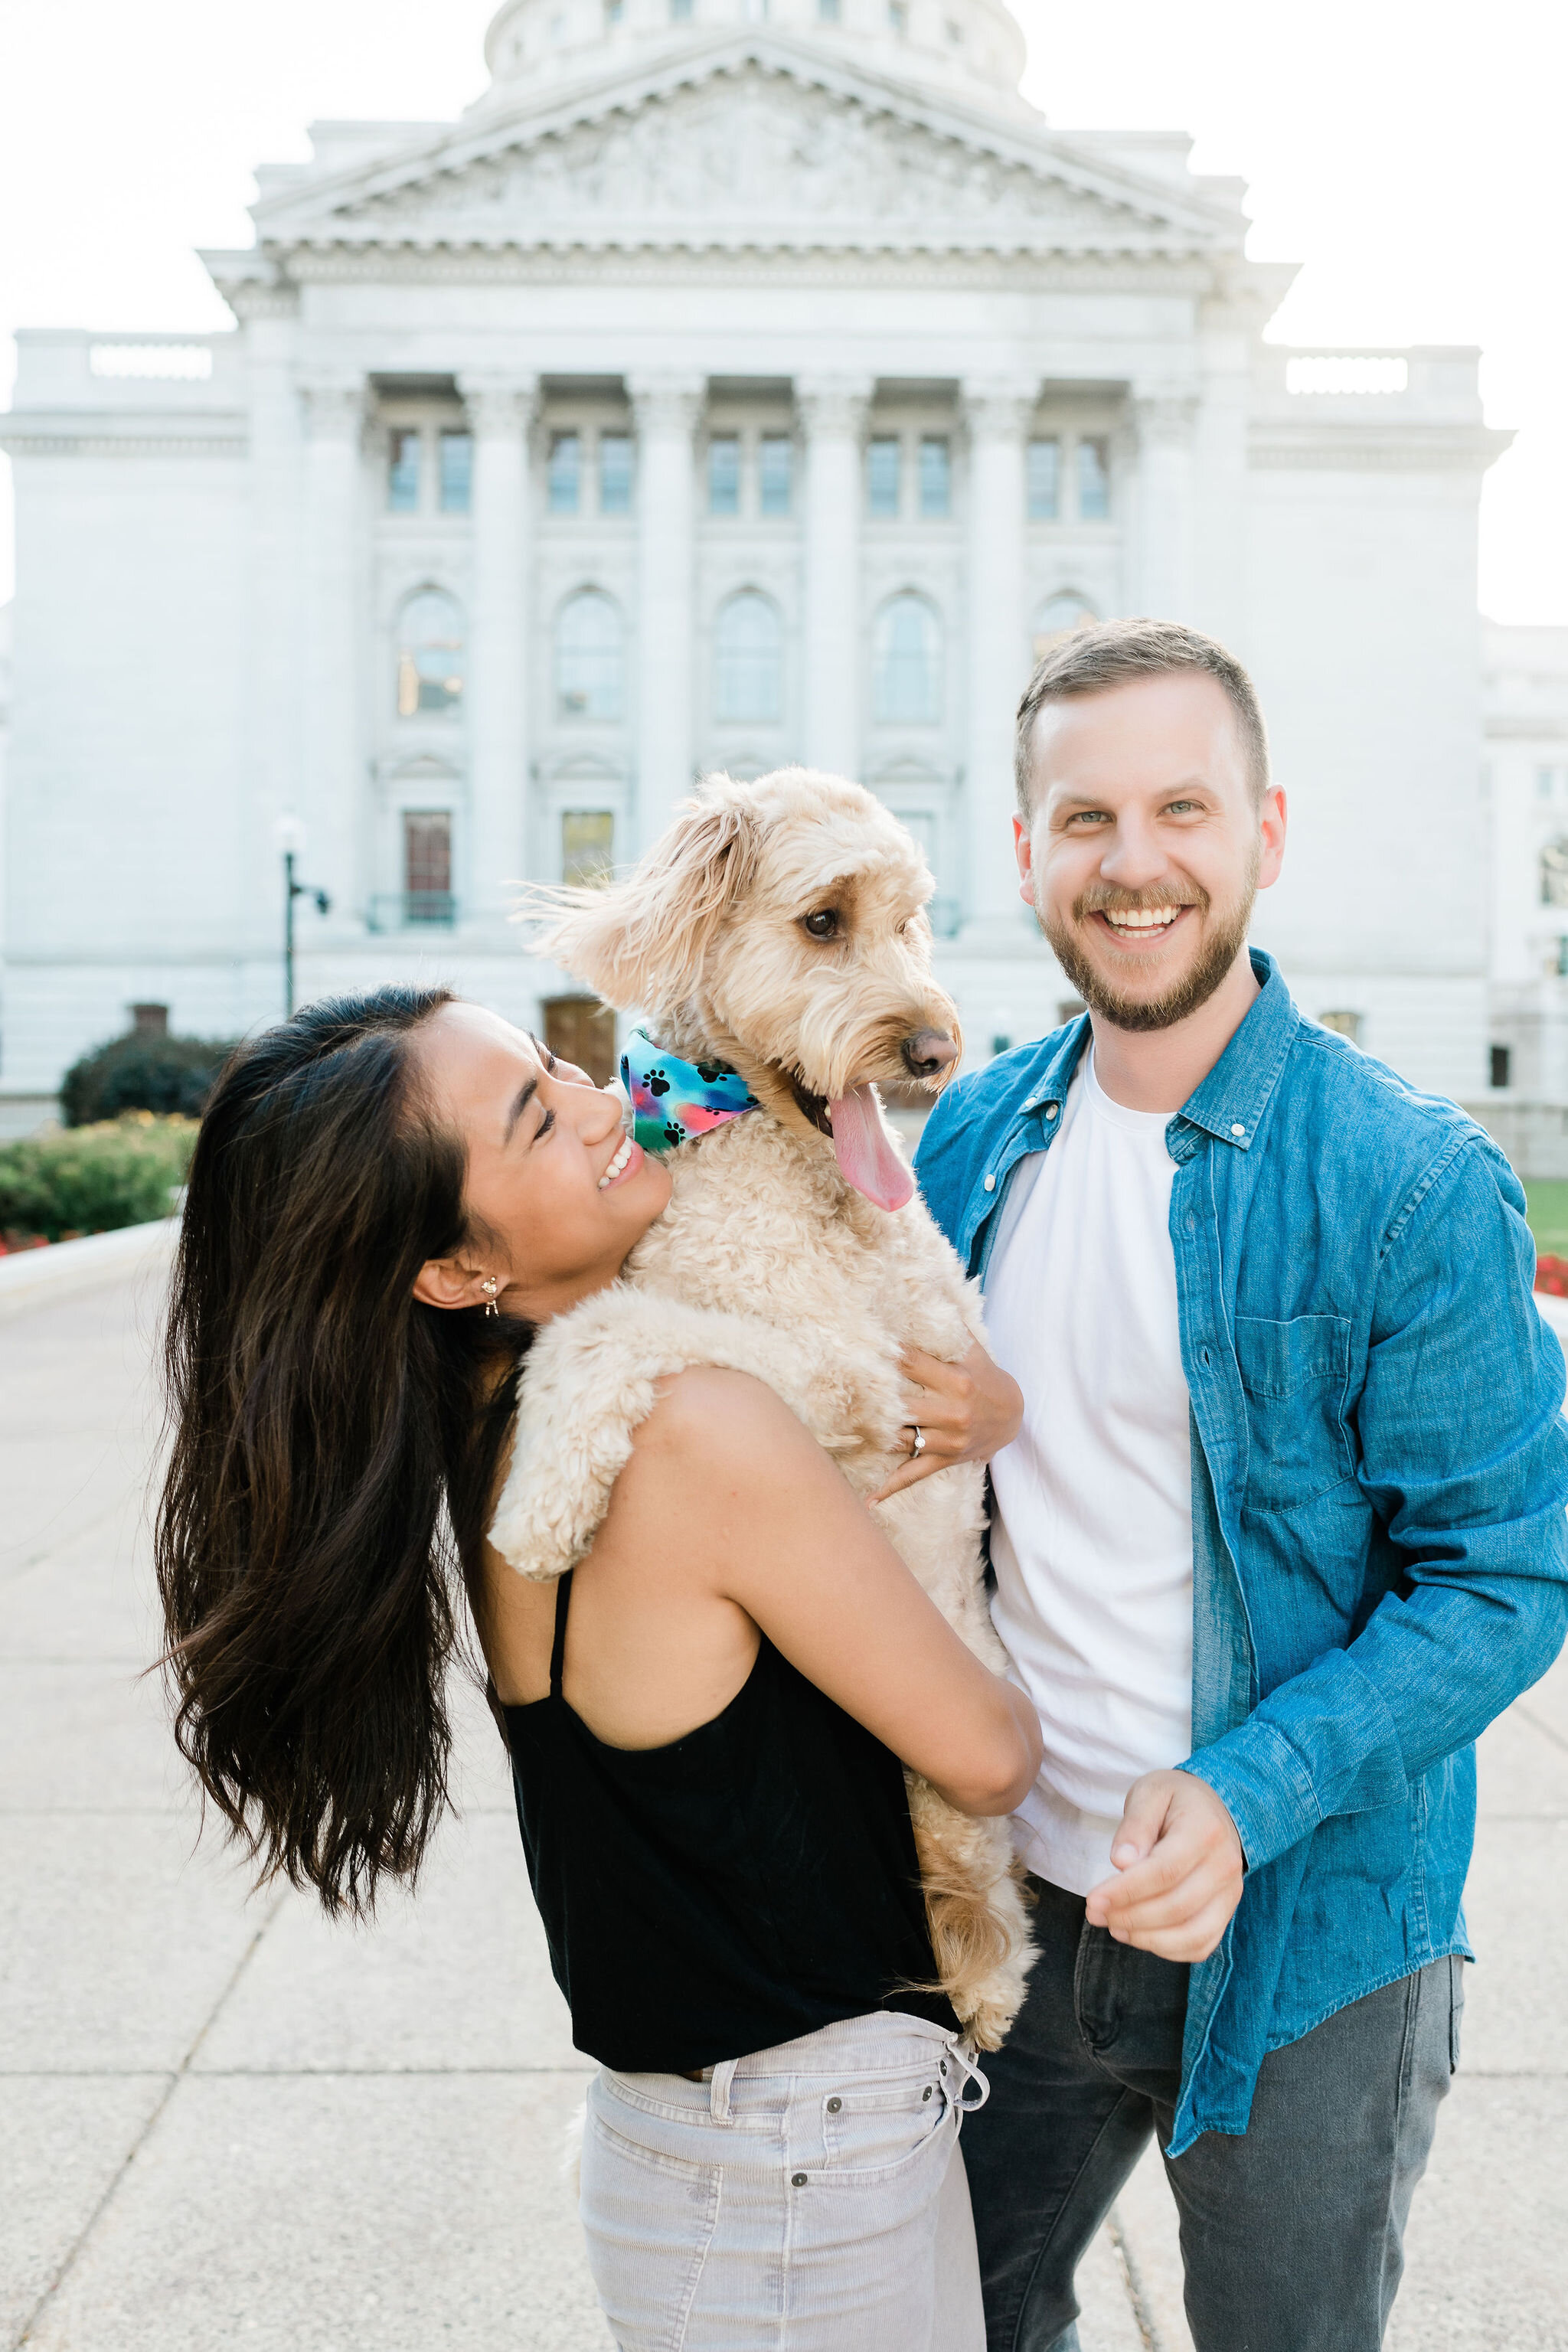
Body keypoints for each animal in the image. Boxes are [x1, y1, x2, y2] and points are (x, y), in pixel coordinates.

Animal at [486, 766, 1029, 2041]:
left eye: (912, 921)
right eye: (824, 920)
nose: (936, 1049)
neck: (744, 1141)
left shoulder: (855, 1376)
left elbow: (613, 1322)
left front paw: (539, 1506)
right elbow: (621, 1312)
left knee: (985, 1919)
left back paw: (977, 1981)